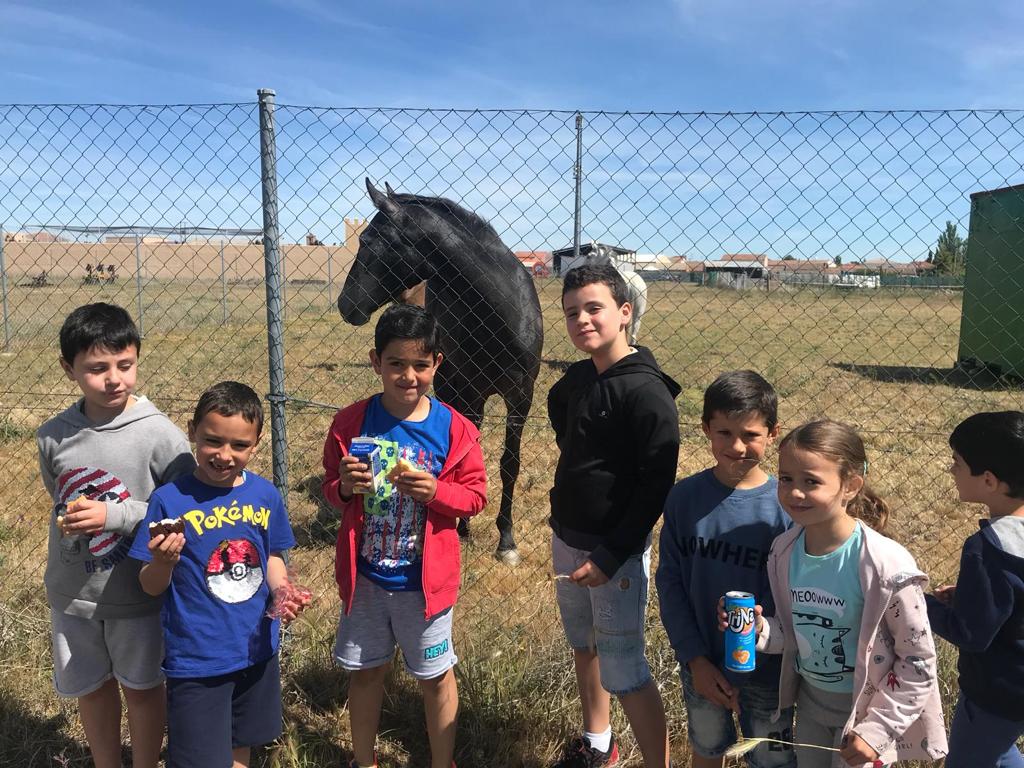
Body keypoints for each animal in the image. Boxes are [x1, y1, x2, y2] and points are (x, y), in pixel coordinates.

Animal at [338, 179, 543, 565]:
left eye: (368, 241)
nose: (346, 305)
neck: (498, 315)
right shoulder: (466, 388)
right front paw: (462, 526)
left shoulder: (521, 394)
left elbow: (509, 464)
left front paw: (506, 541)